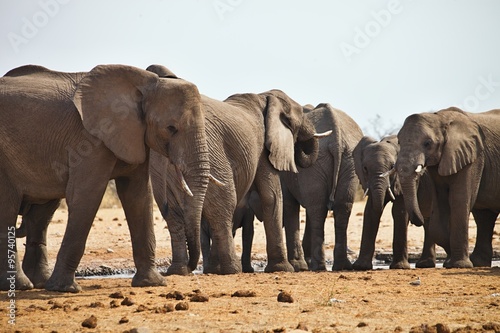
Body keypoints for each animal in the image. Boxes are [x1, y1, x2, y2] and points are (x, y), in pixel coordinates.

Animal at [0, 63, 211, 290]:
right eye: (171, 128)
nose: (189, 269)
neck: (146, 83)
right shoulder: (89, 139)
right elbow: (87, 196)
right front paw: (64, 289)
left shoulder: (134, 134)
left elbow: (138, 197)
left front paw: (152, 283)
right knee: (8, 209)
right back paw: (22, 285)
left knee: (41, 214)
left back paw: (37, 283)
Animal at [148, 63, 328, 274]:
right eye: (297, 120)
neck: (265, 97)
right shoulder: (262, 148)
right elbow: (272, 195)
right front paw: (282, 269)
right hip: (212, 155)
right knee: (224, 205)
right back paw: (231, 269)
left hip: (162, 170)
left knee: (173, 215)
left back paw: (181, 271)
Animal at [280, 103, 362, 270]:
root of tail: (336, 141)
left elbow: (290, 204)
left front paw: (300, 265)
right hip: (348, 161)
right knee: (340, 207)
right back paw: (340, 266)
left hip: (321, 163)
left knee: (317, 209)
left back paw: (318, 267)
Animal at [350, 135, 436, 270]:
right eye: (365, 169)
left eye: (392, 167)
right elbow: (370, 211)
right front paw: (361, 267)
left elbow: (399, 211)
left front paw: (400, 267)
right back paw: (425, 264)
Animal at [398, 106, 500, 268]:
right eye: (399, 141)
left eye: (427, 143)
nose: (419, 220)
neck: (440, 117)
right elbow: (440, 204)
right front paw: (451, 261)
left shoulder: (474, 157)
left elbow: (459, 199)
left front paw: (459, 265)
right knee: (484, 216)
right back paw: (478, 263)